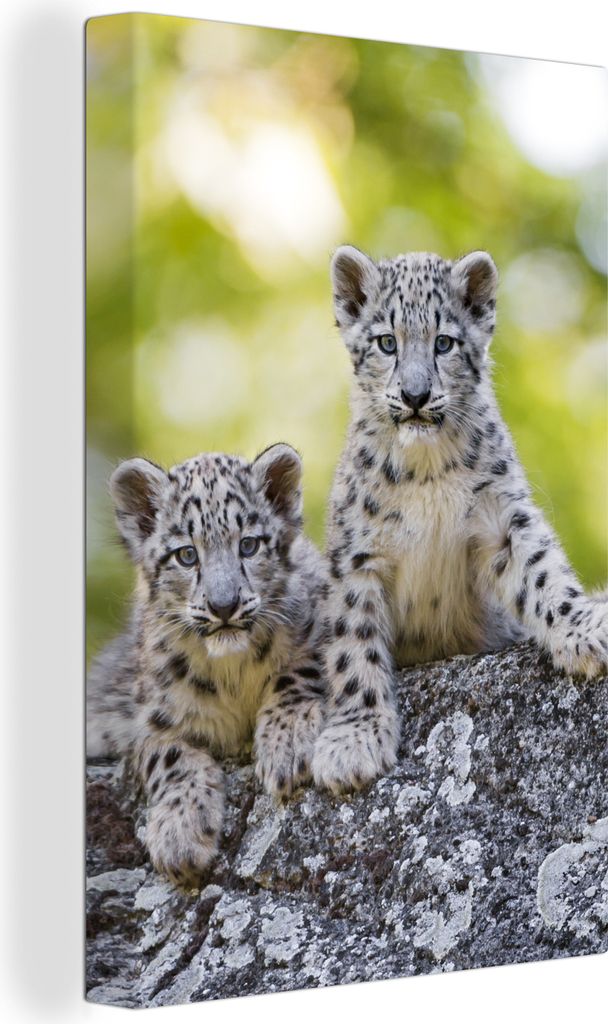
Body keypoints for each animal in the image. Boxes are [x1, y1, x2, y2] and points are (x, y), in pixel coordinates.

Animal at [87, 444, 328, 886]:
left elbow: (299, 670)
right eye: (186, 555)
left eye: (248, 545)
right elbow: (168, 756)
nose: (224, 605)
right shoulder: (150, 716)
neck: (232, 672)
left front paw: (288, 747)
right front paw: (180, 838)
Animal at [312, 244, 608, 794]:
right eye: (387, 342)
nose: (415, 396)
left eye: (444, 342)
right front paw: (353, 744)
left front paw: (586, 627)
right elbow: (353, 645)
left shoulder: (502, 514)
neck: (425, 470)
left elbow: (542, 572)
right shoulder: (357, 556)